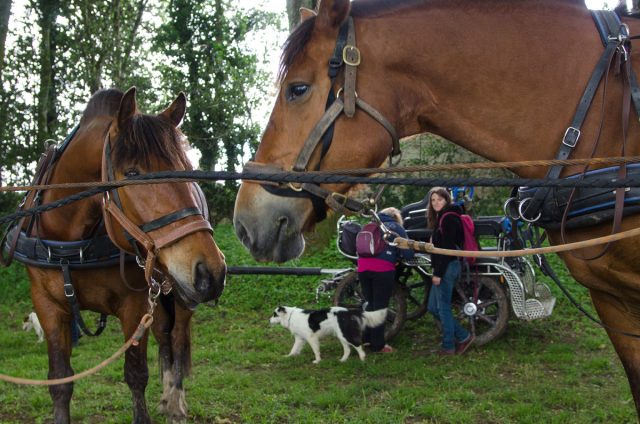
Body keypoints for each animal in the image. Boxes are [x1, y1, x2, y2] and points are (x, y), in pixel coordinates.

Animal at [19, 87, 225, 424]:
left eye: (188, 171)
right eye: (131, 172)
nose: (212, 272)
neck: (72, 244)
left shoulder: (135, 304)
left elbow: (136, 375)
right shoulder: (47, 304)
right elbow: (60, 380)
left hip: (180, 294)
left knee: (177, 338)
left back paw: (176, 401)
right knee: (164, 337)